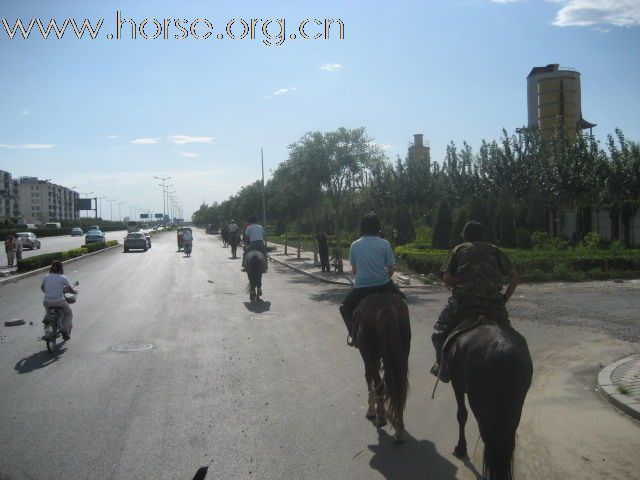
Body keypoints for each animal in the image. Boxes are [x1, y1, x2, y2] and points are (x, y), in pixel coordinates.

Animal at [356, 288, 410, 442]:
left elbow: (369, 379)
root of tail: (386, 308)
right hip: (402, 353)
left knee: (379, 383)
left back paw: (380, 417)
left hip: (368, 353)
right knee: (399, 386)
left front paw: (371, 411)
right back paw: (400, 429)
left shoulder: (369, 357)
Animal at [442, 318, 532, 480]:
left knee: (490, 441)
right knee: (505, 441)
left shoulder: (457, 384)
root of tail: (503, 348)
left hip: (480, 404)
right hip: (515, 405)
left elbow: (461, 415)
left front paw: (461, 448)